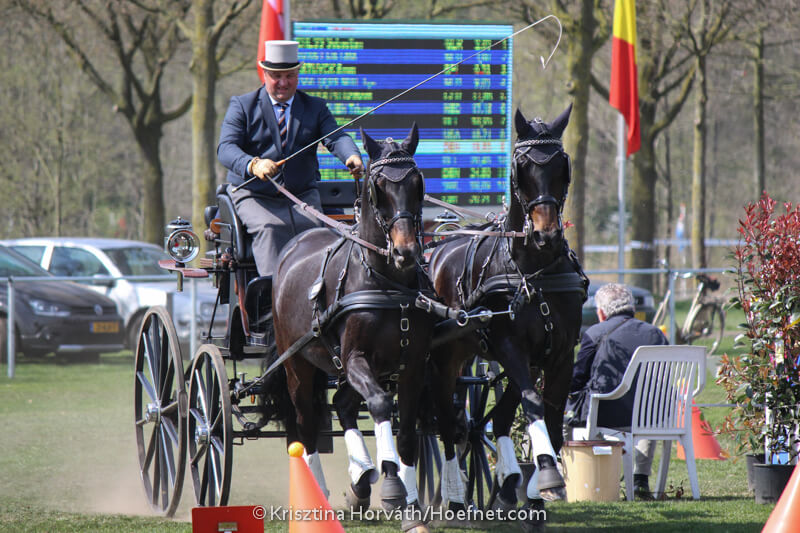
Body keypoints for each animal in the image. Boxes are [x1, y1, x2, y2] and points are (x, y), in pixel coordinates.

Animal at [270, 124, 435, 531]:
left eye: (418, 182)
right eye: (378, 186)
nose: (406, 252)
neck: (389, 283)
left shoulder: (413, 366)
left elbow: (407, 432)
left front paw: (410, 506)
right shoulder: (357, 357)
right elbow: (379, 404)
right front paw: (391, 486)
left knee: (342, 404)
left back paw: (360, 479)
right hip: (298, 365)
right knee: (306, 424)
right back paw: (319, 495)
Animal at [427, 105, 587, 521]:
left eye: (562, 165)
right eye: (522, 168)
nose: (546, 234)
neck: (533, 271)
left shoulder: (558, 354)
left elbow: (549, 414)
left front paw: (534, 489)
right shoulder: (511, 347)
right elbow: (532, 403)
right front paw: (546, 475)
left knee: (490, 418)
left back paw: (507, 484)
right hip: (443, 358)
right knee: (446, 422)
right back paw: (453, 495)